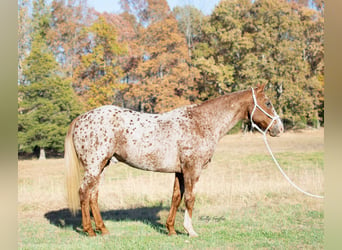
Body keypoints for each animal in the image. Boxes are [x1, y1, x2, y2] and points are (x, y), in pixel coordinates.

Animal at [64, 83, 284, 236]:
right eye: (268, 103)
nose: (279, 128)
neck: (201, 122)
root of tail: (81, 118)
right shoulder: (192, 170)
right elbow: (190, 199)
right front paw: (190, 230)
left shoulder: (180, 171)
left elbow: (176, 198)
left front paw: (170, 230)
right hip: (94, 167)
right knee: (83, 193)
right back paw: (89, 231)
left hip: (102, 167)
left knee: (93, 196)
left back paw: (103, 230)